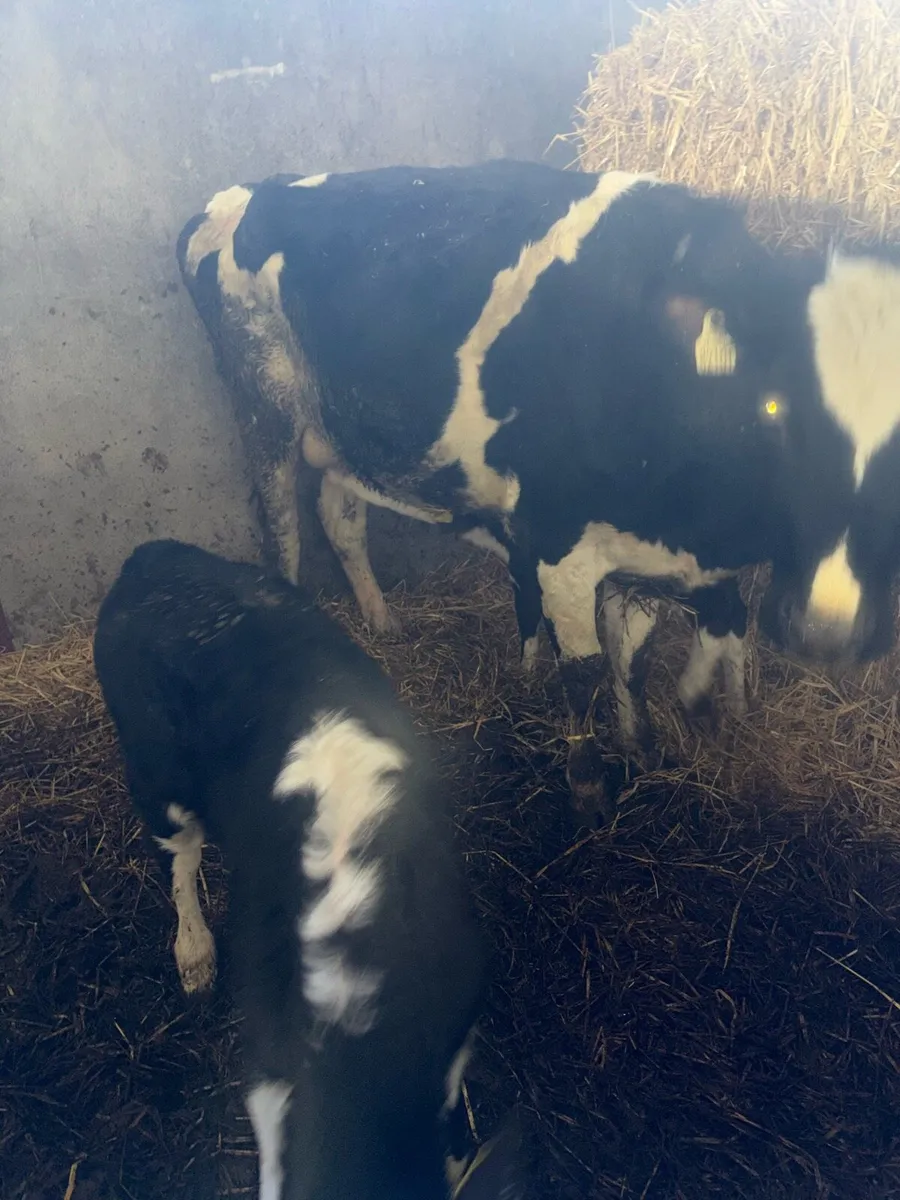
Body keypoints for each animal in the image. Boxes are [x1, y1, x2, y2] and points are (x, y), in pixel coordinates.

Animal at [175, 160, 883, 820]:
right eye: (777, 409)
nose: (827, 632)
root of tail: (242, 193)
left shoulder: (642, 553)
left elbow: (633, 659)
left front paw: (642, 746)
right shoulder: (557, 541)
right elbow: (585, 669)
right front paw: (589, 785)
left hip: (347, 435)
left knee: (340, 517)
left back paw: (382, 620)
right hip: (263, 410)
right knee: (284, 537)